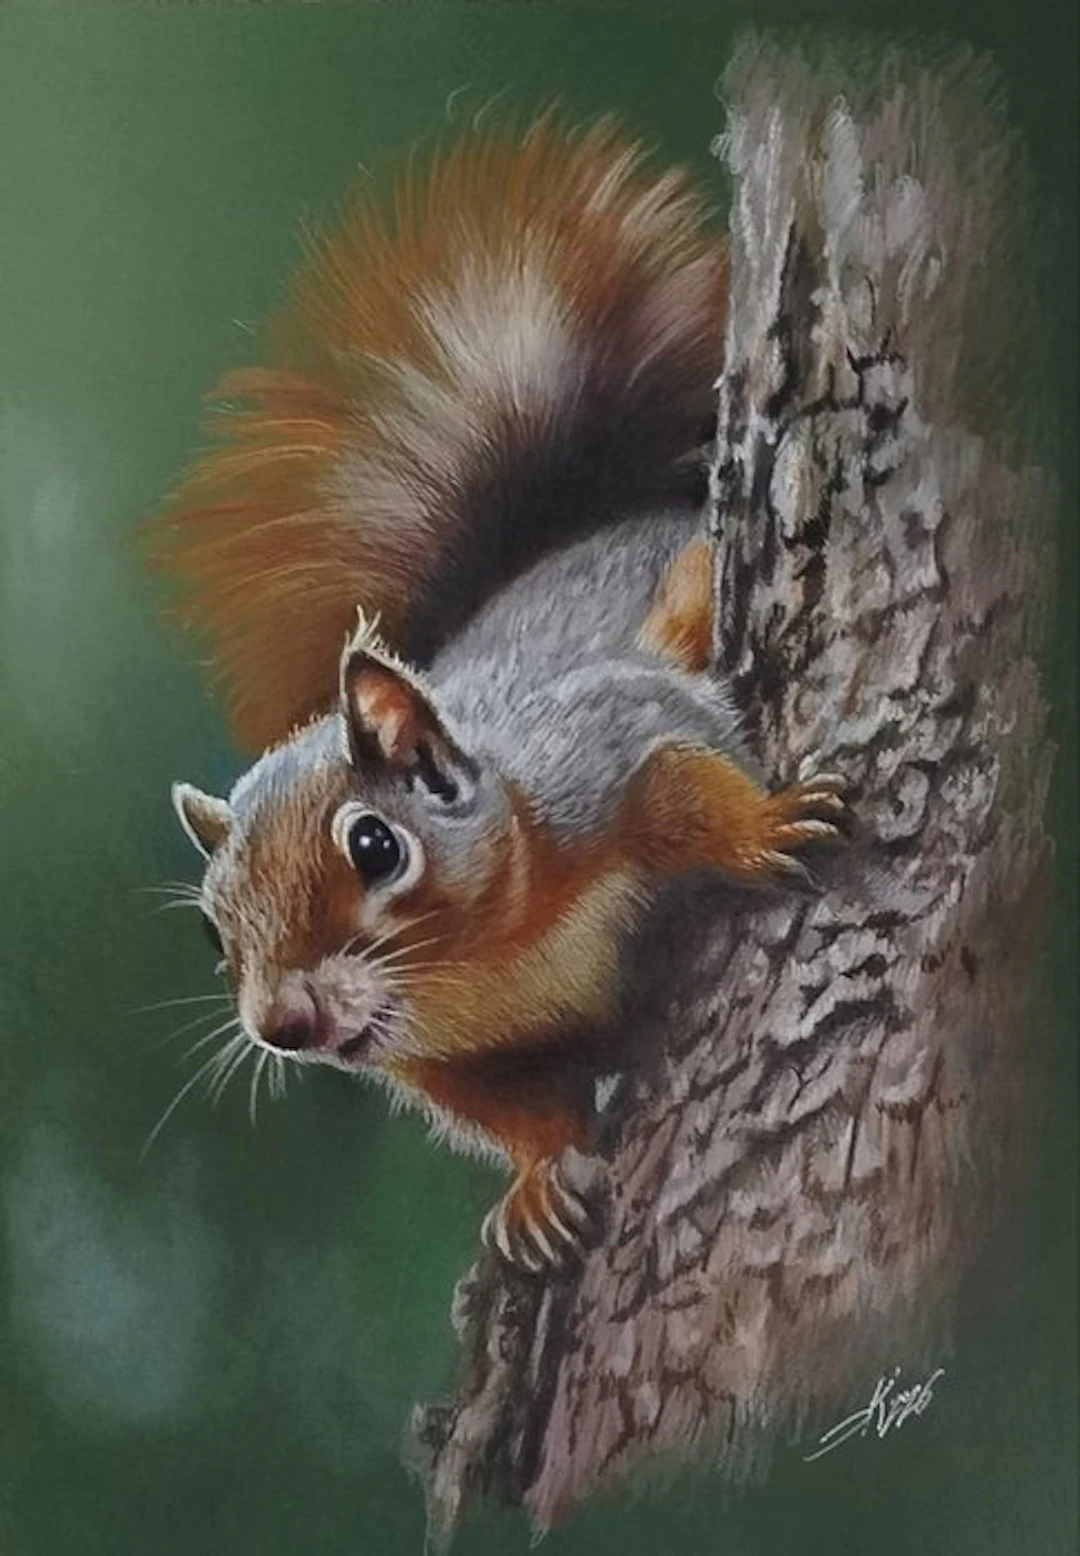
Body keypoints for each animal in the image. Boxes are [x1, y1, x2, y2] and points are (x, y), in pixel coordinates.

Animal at [149, 116, 849, 1273]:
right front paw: (536, 1183)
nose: (282, 1025)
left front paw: (763, 827)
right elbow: (508, 1112)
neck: (484, 961)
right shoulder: (439, 1055)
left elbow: (680, 777)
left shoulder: (600, 749)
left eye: (375, 846)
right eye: (213, 929)